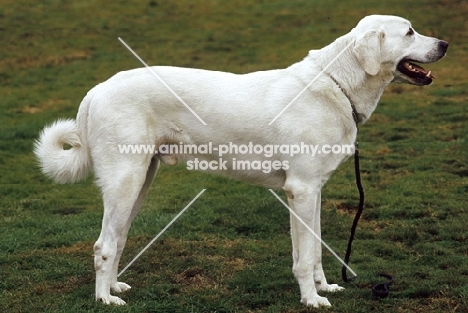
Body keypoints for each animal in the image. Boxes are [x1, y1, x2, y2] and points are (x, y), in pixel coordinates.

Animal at [34, 15, 448, 306]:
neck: (337, 84)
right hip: (126, 181)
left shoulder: (311, 192)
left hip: (139, 182)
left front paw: (323, 287)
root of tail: (96, 90)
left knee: (117, 239)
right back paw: (105, 298)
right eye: (410, 32)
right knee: (103, 245)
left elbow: (312, 252)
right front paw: (311, 300)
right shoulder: (302, 190)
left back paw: (113, 286)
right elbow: (305, 256)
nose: (445, 43)